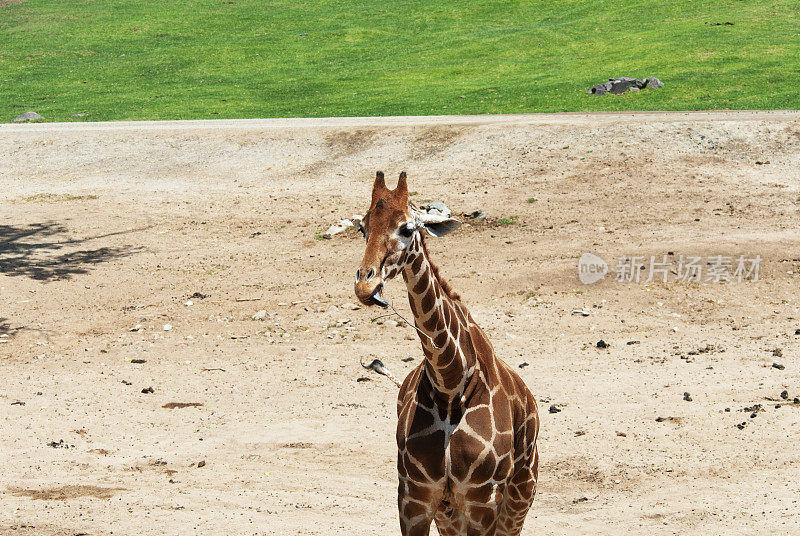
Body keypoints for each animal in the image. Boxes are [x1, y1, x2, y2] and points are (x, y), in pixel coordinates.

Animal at [354, 171, 540, 536]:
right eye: (363, 228)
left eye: (406, 228)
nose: (366, 287)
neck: (450, 382)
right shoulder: (414, 496)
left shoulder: (483, 499)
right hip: (448, 512)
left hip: (519, 497)